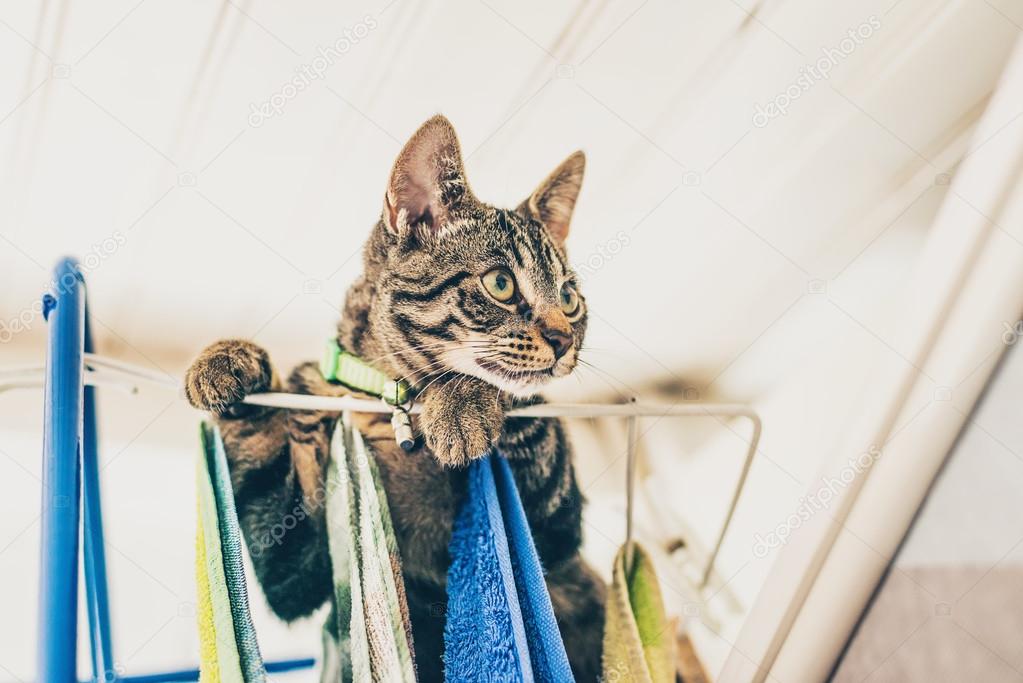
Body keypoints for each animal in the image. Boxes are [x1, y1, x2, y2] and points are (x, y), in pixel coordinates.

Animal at [184, 114, 601, 678]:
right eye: (500, 283)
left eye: (569, 297)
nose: (563, 340)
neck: (388, 402)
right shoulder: (295, 564)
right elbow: (269, 480)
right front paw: (230, 360)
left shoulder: (557, 529)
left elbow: (524, 406)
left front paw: (464, 400)